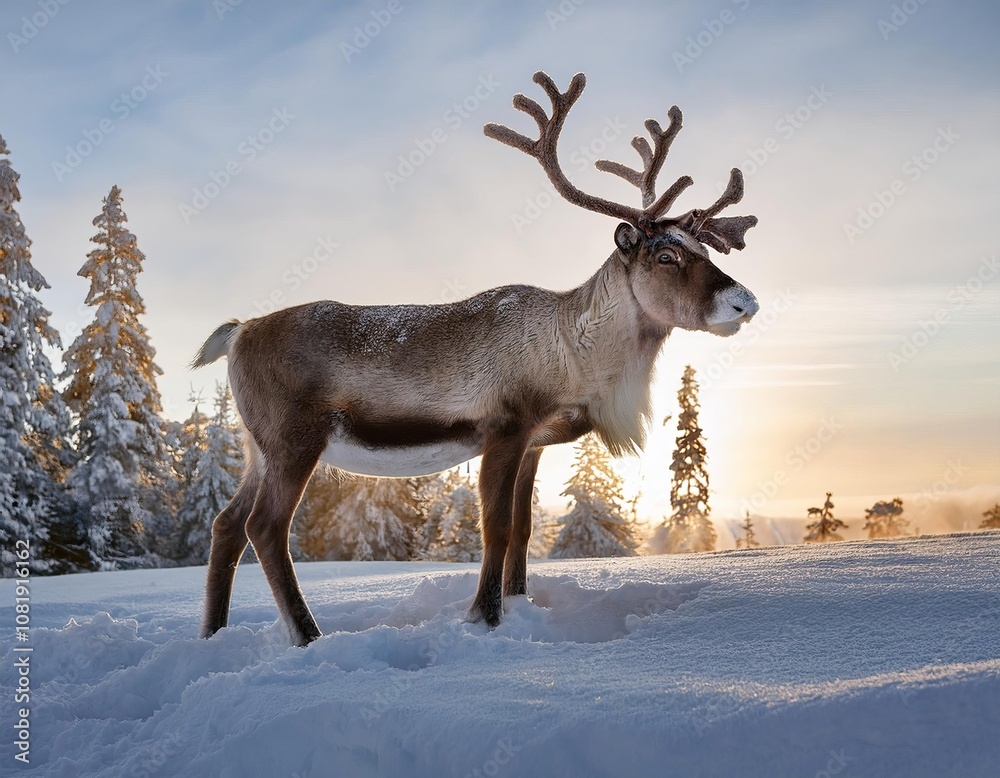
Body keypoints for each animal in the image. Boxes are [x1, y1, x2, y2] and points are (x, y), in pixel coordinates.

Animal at [193, 71, 760, 647]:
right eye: (665, 255)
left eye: (704, 249)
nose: (744, 301)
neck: (575, 362)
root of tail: (237, 333)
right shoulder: (503, 426)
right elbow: (497, 527)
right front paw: (483, 615)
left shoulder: (535, 443)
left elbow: (525, 529)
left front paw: (517, 602)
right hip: (293, 437)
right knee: (264, 527)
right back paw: (308, 636)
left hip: (256, 445)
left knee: (225, 524)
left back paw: (212, 634)